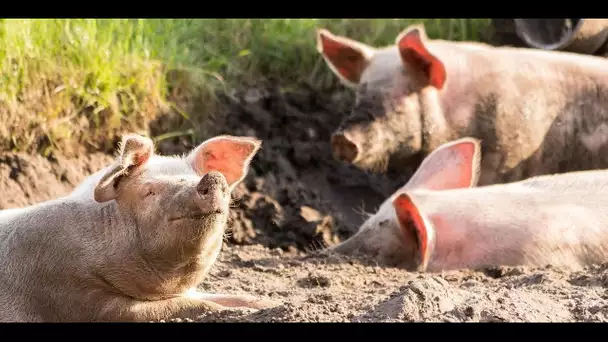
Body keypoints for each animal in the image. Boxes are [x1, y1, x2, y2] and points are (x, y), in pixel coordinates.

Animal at [0, 133, 280, 320]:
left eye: (194, 177)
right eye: (149, 191)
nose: (212, 177)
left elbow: (223, 297)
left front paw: (271, 304)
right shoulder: (74, 295)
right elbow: (187, 307)